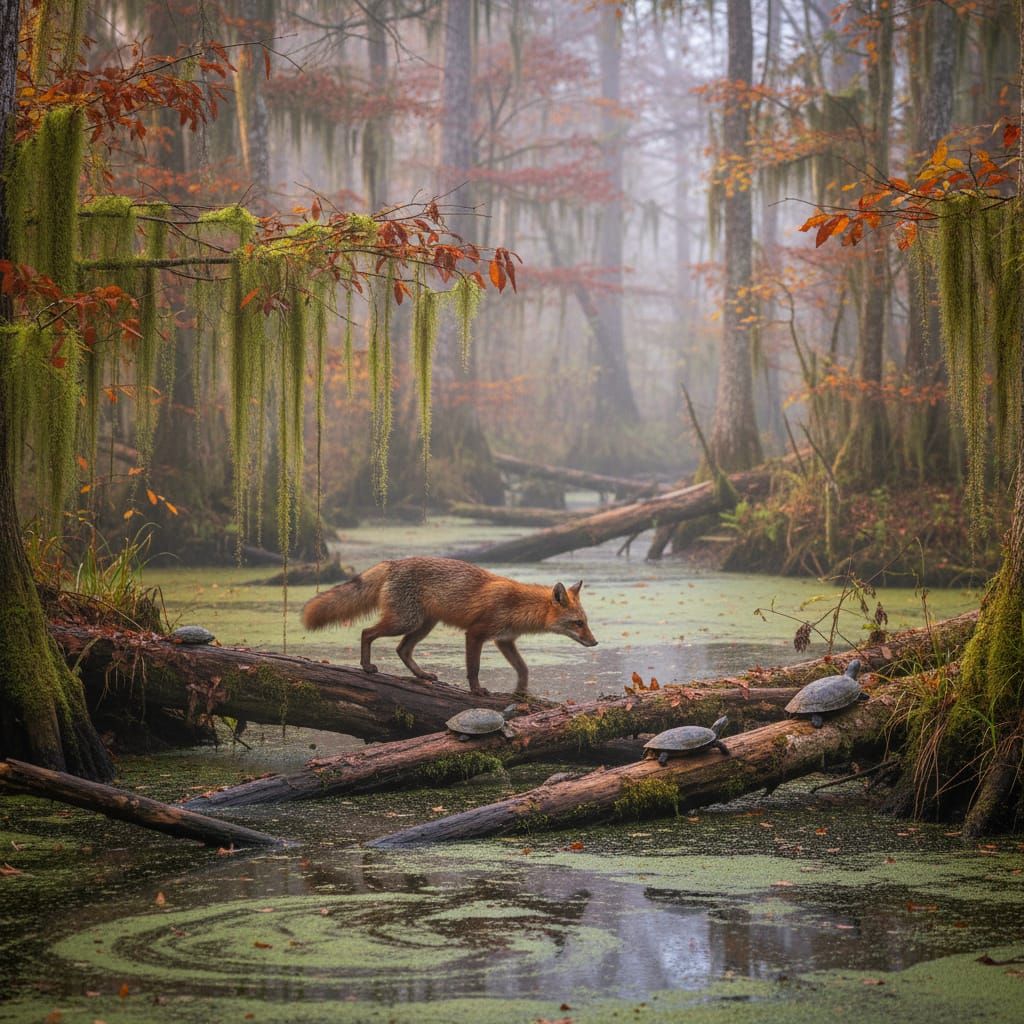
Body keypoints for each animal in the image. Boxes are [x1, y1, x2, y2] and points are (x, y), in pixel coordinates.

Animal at [301, 556, 598, 696]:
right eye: (578, 623)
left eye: (586, 622)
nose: (595, 642)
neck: (518, 605)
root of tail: (394, 562)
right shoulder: (476, 633)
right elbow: (473, 669)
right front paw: (477, 691)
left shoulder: (504, 640)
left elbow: (523, 669)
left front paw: (521, 693)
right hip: (404, 621)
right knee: (367, 633)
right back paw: (366, 666)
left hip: (422, 626)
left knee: (402, 650)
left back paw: (421, 675)